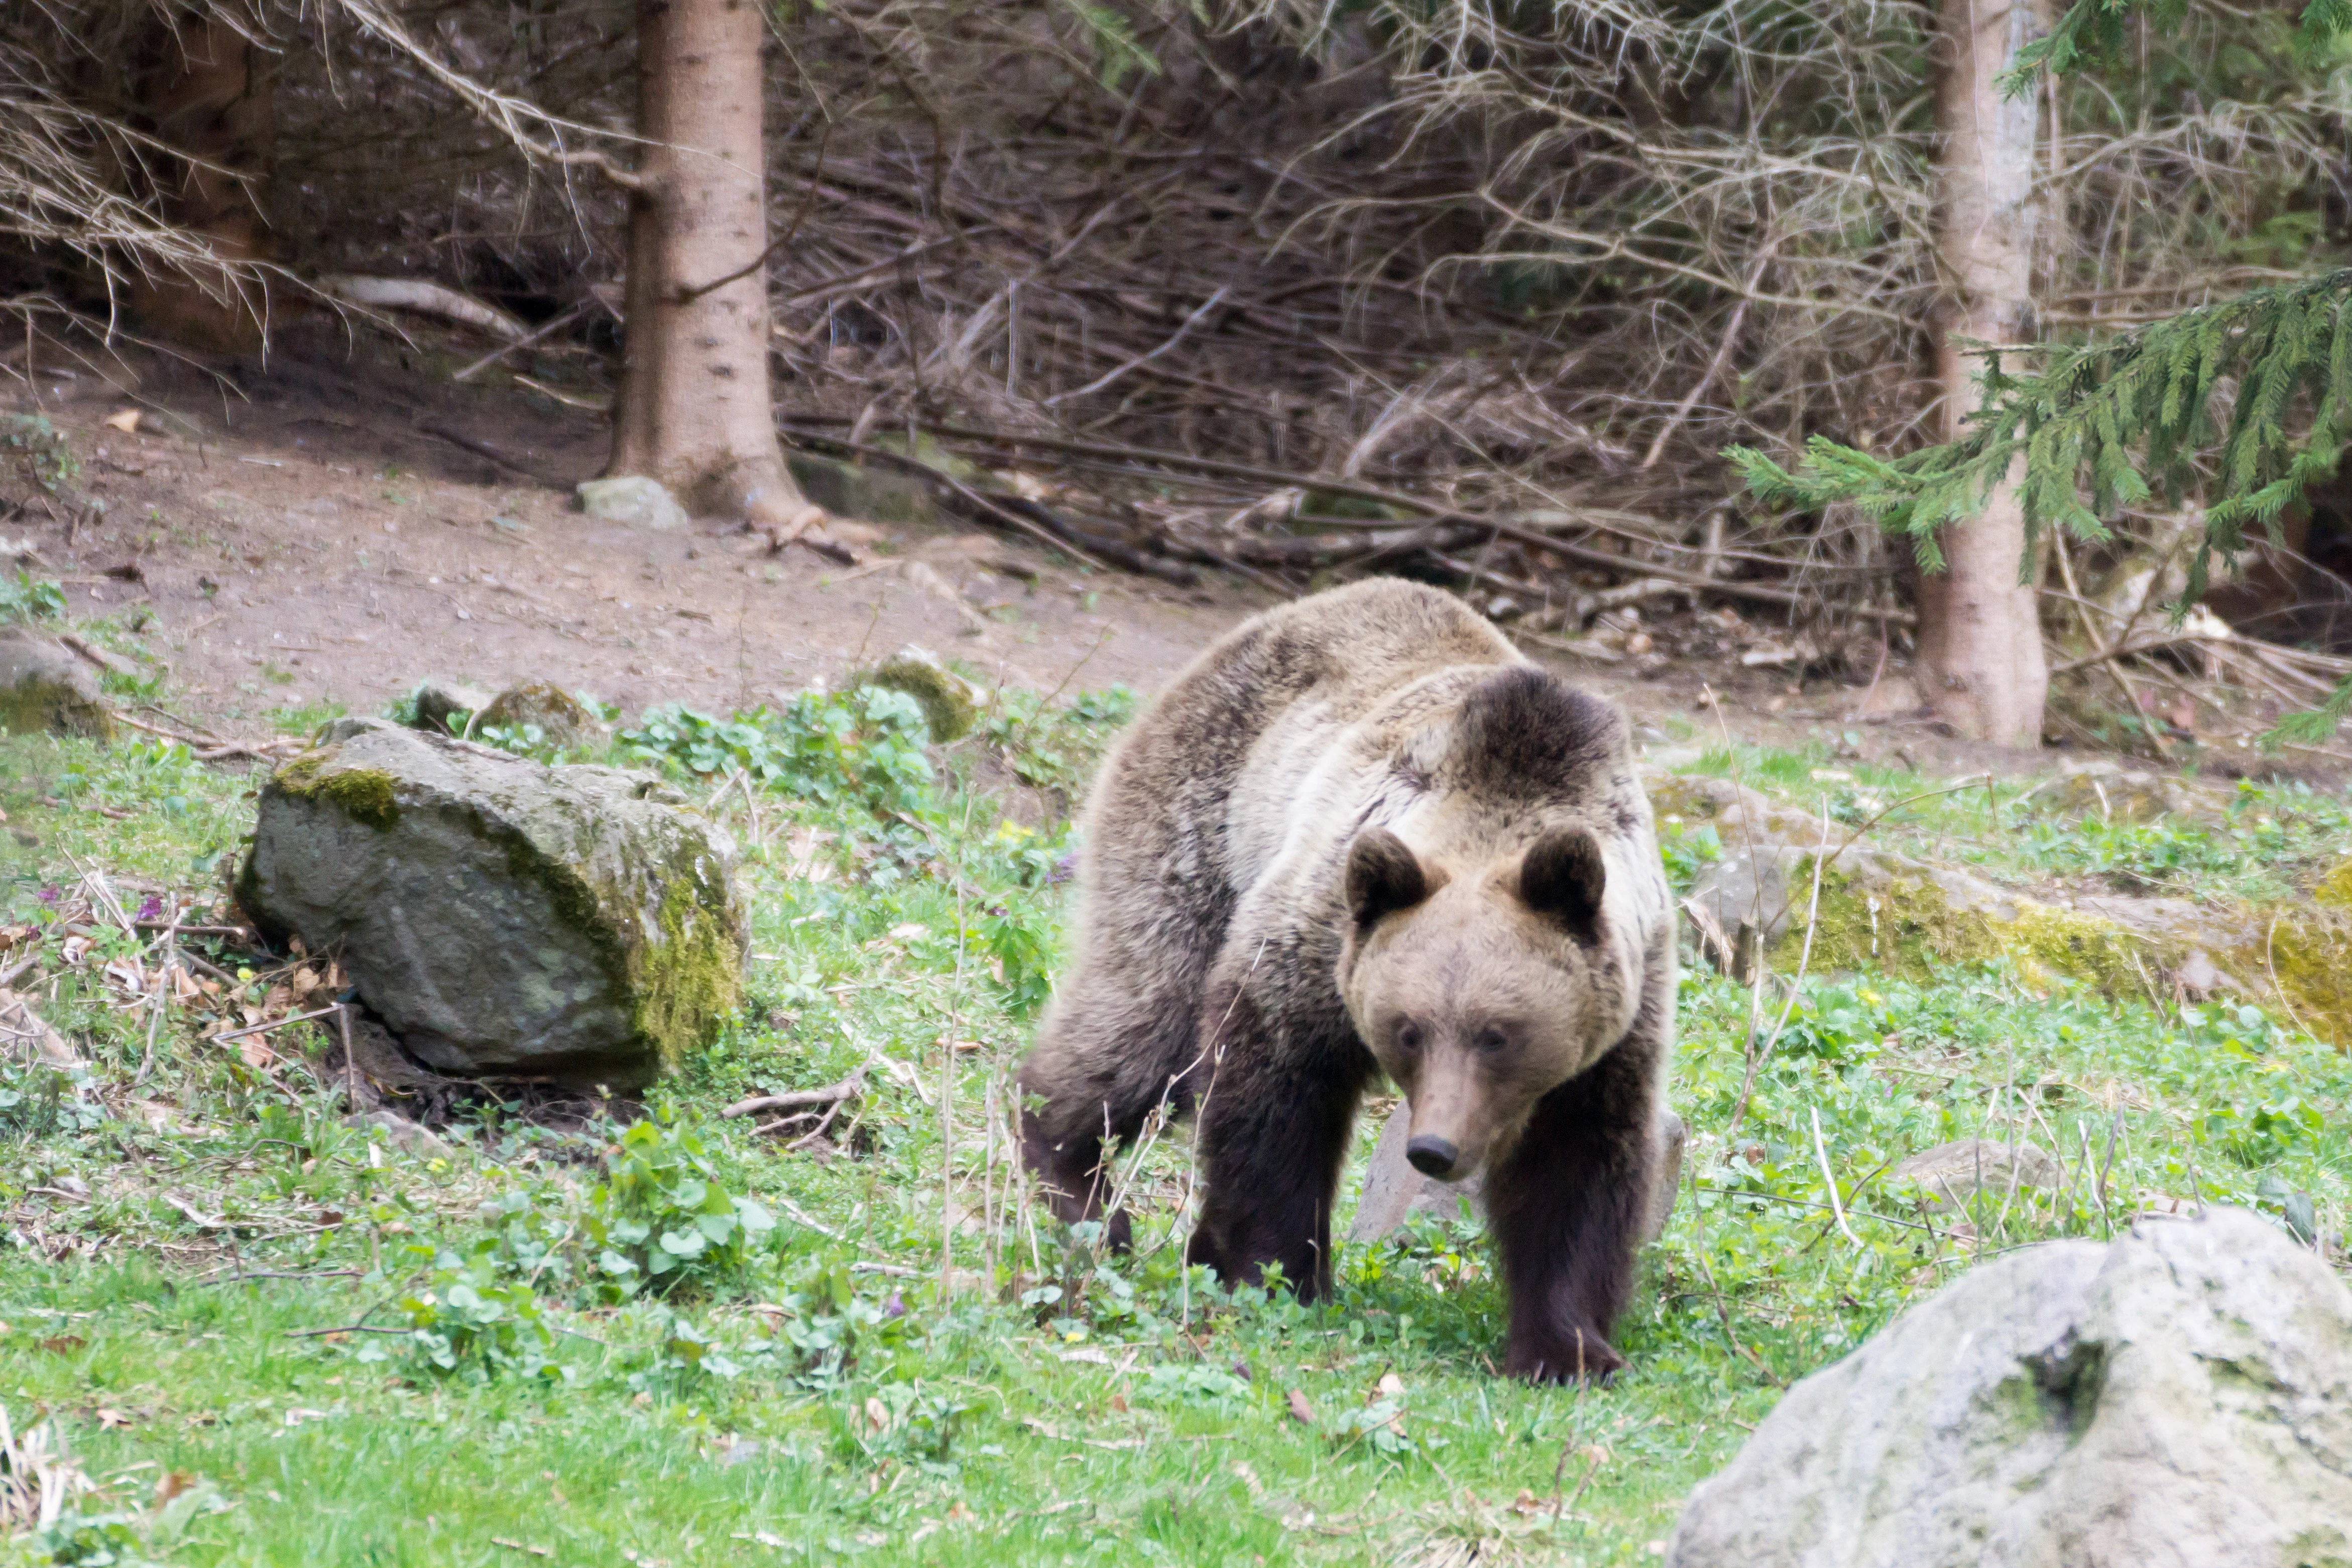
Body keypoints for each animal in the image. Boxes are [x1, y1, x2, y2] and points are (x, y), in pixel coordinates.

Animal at [1018, 577, 1675, 1381]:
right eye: (1409, 1029)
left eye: (1499, 1034)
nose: (1433, 1149)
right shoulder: (1320, 935)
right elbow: (1273, 1097)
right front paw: (1273, 1272)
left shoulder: (1618, 1022)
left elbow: (1576, 1171)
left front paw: (1568, 1348)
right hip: (1198, 824)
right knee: (1144, 1020)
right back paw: (1075, 1182)